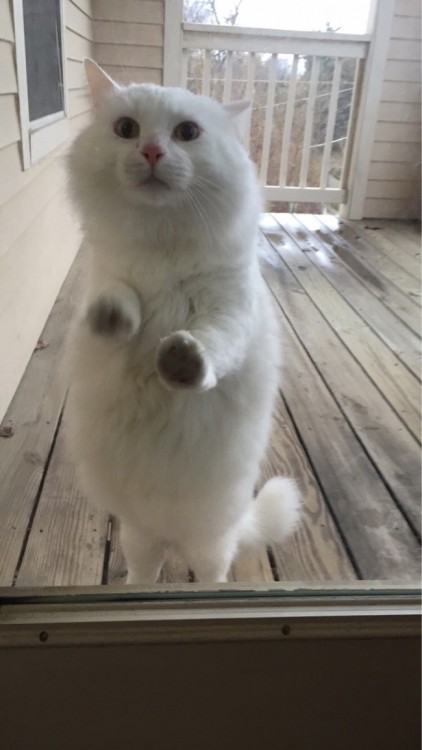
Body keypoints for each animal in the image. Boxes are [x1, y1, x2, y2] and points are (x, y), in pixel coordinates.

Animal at [63, 60, 300, 588]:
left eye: (186, 133)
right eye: (126, 130)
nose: (151, 151)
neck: (163, 247)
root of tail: (170, 534)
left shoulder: (229, 310)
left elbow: (209, 347)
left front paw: (180, 361)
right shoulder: (109, 280)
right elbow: (117, 304)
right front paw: (113, 318)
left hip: (210, 542)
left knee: (212, 575)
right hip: (139, 536)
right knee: (143, 572)